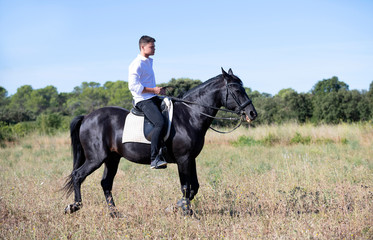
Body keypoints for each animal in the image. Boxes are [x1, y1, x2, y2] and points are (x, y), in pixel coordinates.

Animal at [63, 67, 256, 216]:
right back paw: (73, 207)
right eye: (237, 91)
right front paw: (185, 212)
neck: (190, 115)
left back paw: (114, 214)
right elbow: (186, 187)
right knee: (78, 175)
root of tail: (87, 117)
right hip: (96, 158)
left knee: (105, 183)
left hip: (112, 159)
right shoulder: (183, 159)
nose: (252, 113)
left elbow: (194, 187)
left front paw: (176, 207)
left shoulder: (190, 158)